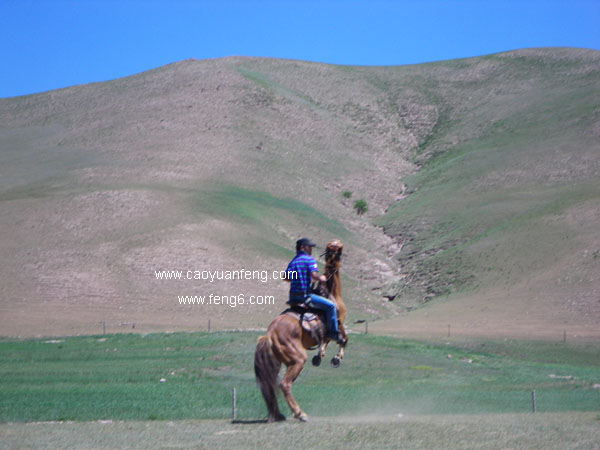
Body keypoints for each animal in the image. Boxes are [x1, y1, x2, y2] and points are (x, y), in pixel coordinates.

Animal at [253, 239, 346, 422]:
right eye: (336, 246)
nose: (339, 244)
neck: (331, 291)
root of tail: (269, 335)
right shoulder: (338, 324)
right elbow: (342, 339)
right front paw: (336, 359)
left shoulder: (326, 333)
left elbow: (325, 341)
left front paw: (319, 357)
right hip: (297, 359)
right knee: (285, 384)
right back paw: (300, 413)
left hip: (276, 363)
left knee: (270, 385)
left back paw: (278, 414)